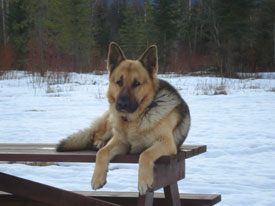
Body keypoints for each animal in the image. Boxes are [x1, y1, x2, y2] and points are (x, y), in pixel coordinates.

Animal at [57, 42, 191, 195]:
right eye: (119, 82)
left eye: (136, 83)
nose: (122, 104)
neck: (137, 118)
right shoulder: (120, 141)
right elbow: (102, 153)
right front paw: (97, 178)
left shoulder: (166, 143)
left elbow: (145, 154)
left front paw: (144, 181)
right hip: (111, 123)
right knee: (96, 135)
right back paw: (98, 142)